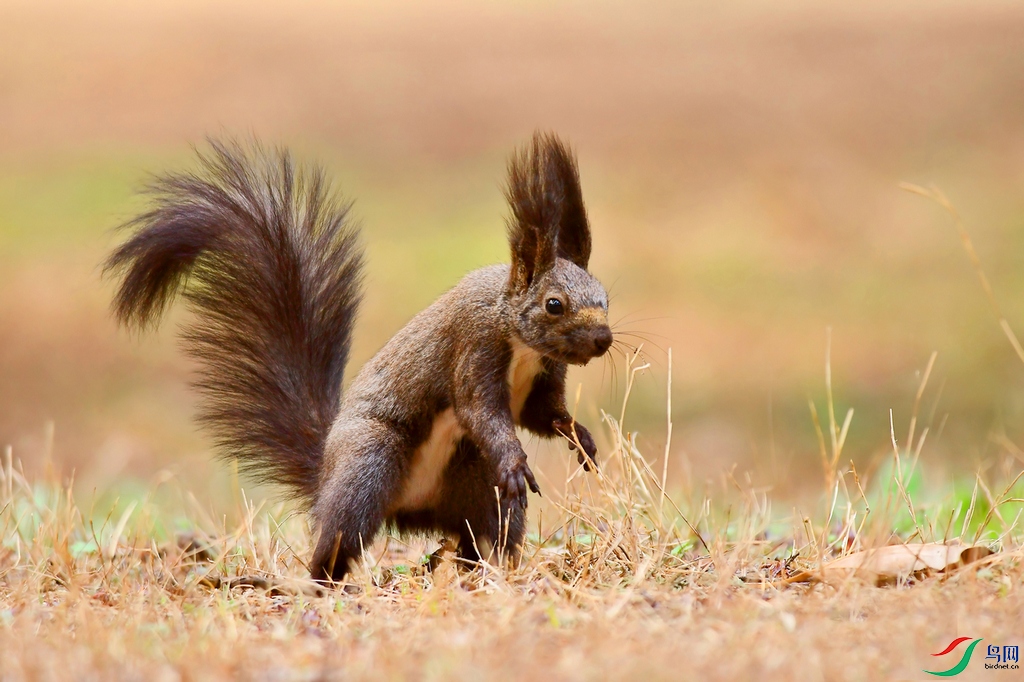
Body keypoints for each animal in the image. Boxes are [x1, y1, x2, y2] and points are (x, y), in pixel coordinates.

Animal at [107, 131, 610, 577]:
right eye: (554, 304)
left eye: (605, 296)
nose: (603, 340)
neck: (517, 337)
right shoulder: (474, 347)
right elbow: (481, 410)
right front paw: (516, 460)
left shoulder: (541, 377)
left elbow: (541, 415)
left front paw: (579, 436)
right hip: (369, 462)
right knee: (340, 536)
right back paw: (314, 581)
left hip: (471, 480)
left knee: (483, 533)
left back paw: (482, 571)